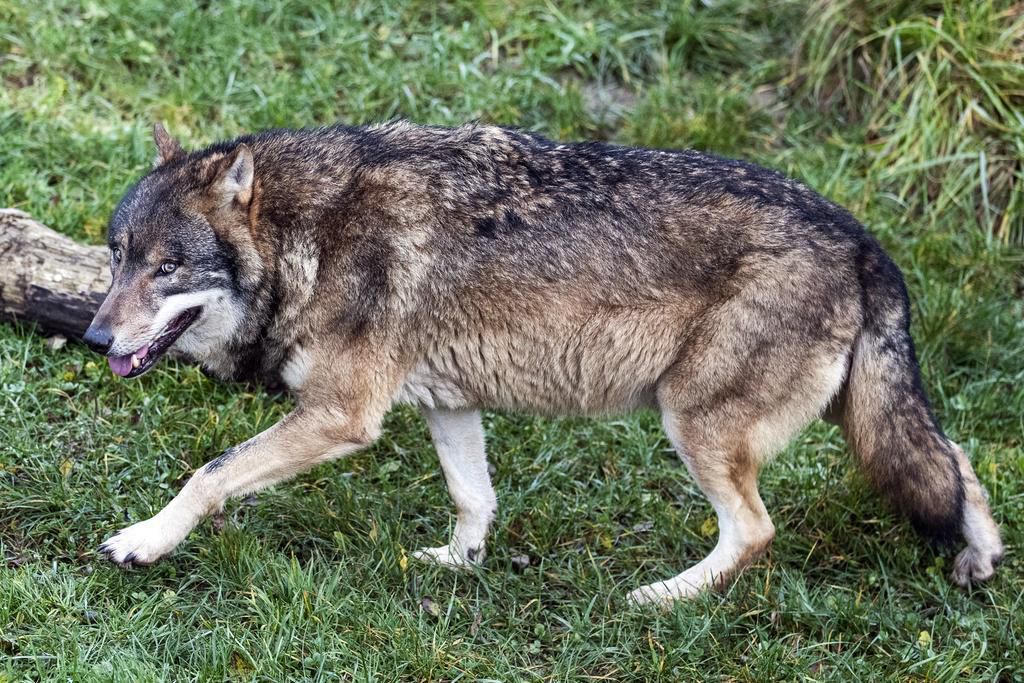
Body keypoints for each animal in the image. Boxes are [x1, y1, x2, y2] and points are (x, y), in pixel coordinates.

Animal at [85, 121, 1002, 603]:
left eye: (167, 267)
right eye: (118, 256)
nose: (94, 338)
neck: (311, 238)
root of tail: (865, 241)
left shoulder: (340, 417)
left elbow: (208, 474)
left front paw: (141, 541)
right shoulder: (447, 402)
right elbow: (475, 497)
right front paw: (459, 566)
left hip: (693, 423)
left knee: (756, 529)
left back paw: (659, 597)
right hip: (858, 420)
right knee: (958, 462)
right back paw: (980, 557)